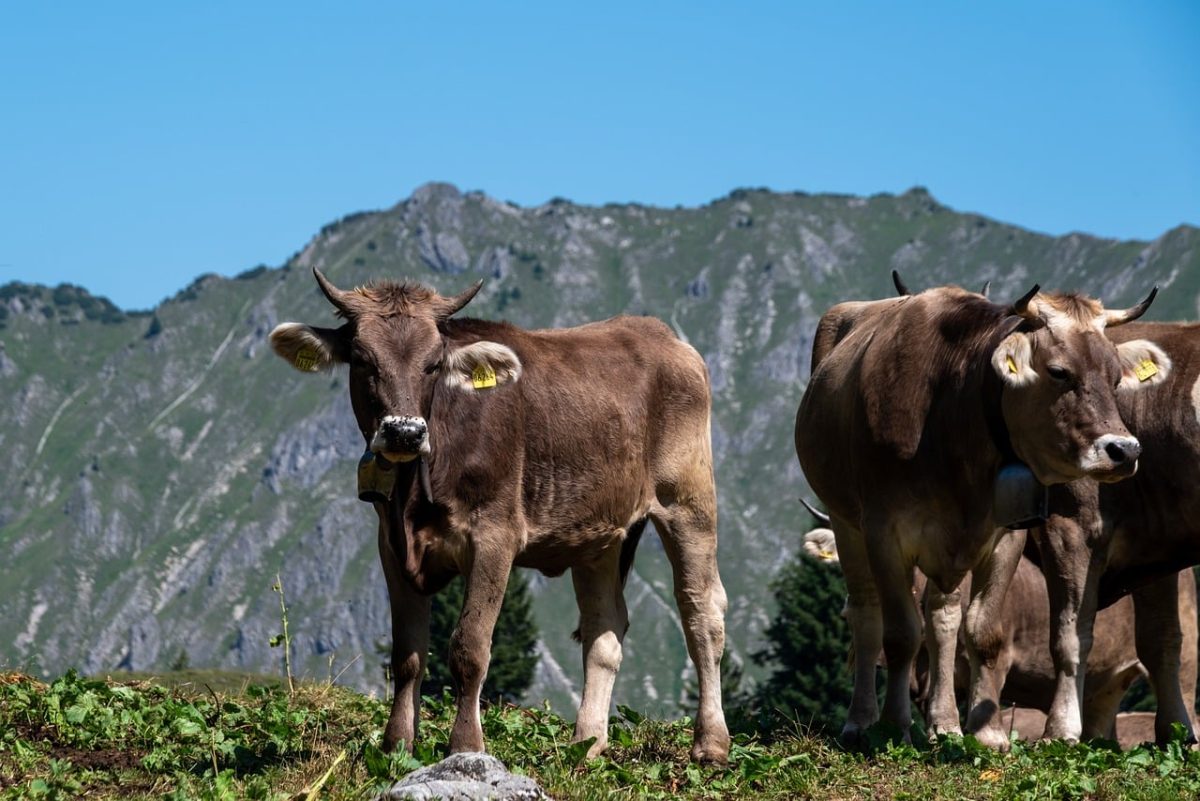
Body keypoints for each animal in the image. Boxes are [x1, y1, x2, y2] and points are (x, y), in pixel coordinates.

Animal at [269, 268, 730, 762]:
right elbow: (407, 655)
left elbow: (469, 648)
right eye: (361, 359)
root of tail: (660, 334)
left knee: (702, 611)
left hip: (688, 500)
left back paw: (710, 742)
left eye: (434, 363)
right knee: (604, 626)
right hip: (600, 533)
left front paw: (466, 745)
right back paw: (586, 743)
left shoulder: (495, 535)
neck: (416, 494)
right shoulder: (390, 544)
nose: (404, 432)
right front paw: (397, 745)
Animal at [794, 282, 1166, 748]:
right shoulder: (884, 532)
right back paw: (862, 720)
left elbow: (981, 631)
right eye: (1058, 372)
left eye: (1117, 378)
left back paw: (945, 721)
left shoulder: (1007, 534)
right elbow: (900, 634)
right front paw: (895, 726)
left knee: (942, 618)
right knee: (867, 614)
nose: (1124, 450)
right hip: (846, 523)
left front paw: (985, 732)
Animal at [1028, 321, 1200, 745]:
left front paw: (1060, 730)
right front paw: (1175, 733)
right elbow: (1161, 641)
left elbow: (1070, 634)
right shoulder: (1156, 546)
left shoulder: (1070, 524)